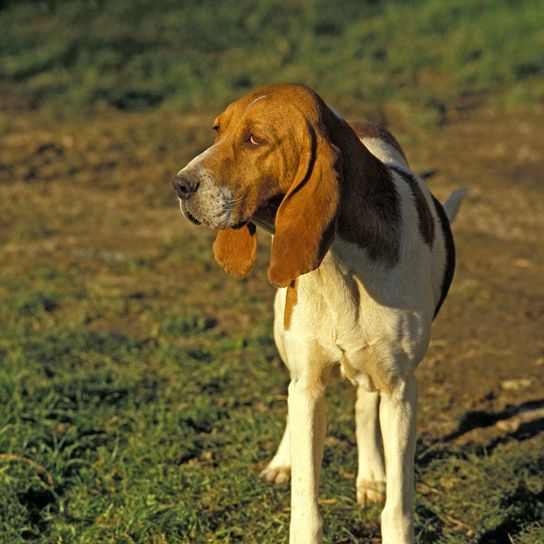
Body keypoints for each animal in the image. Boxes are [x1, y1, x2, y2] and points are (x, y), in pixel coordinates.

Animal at [172, 83, 466, 540]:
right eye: (217, 130)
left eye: (254, 140)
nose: (179, 185)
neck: (341, 264)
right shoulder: (309, 386)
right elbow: (305, 503)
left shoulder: (401, 392)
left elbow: (398, 506)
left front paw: (382, 489)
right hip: (287, 341)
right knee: (294, 398)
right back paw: (283, 461)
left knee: (364, 406)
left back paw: (371, 475)